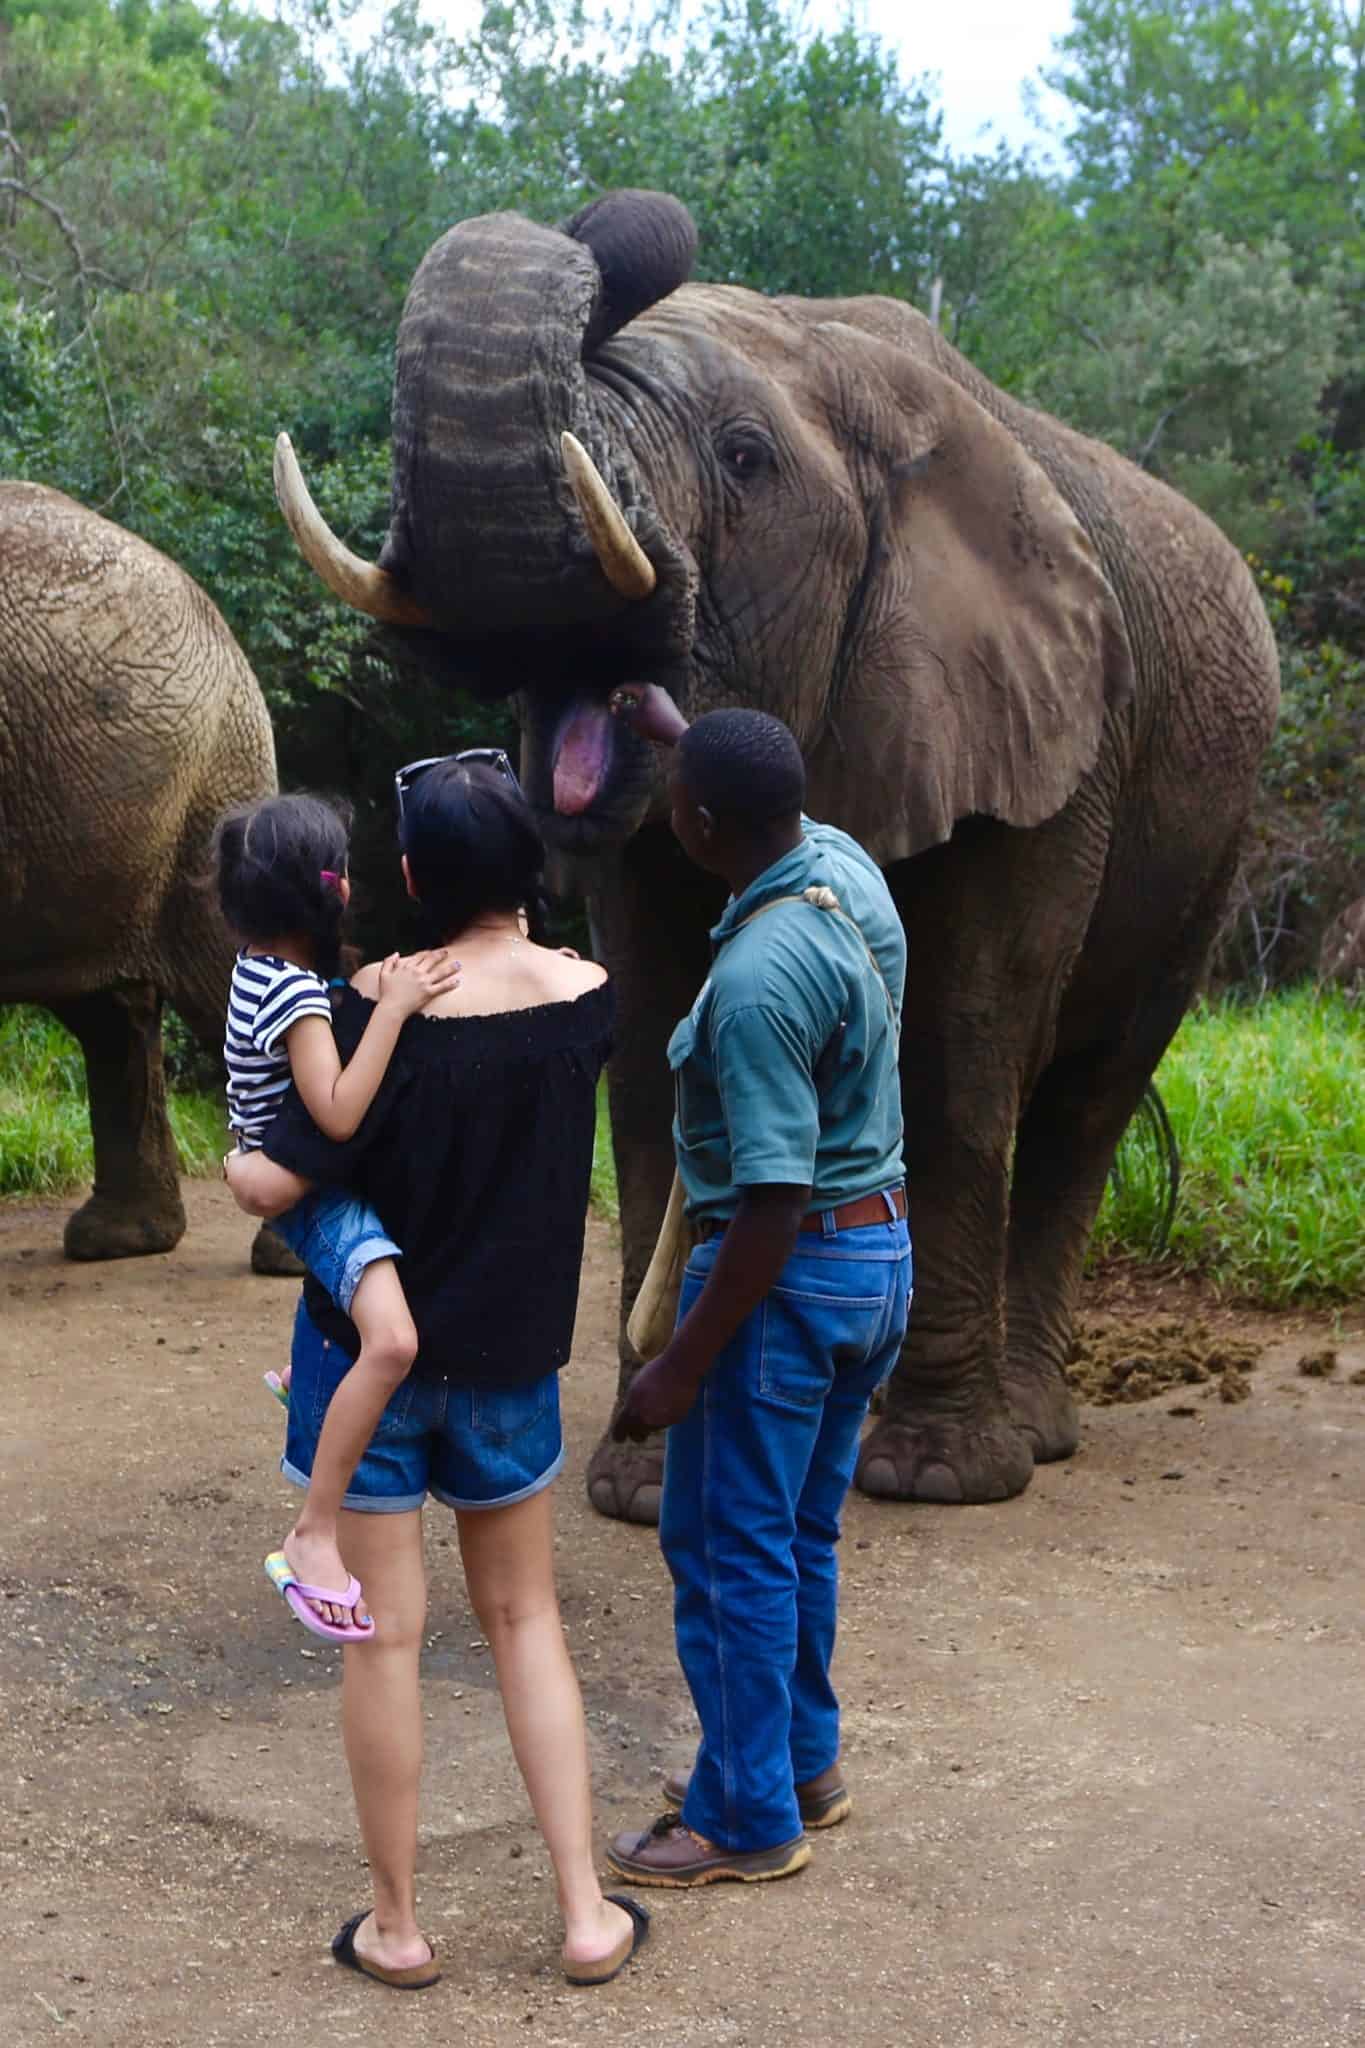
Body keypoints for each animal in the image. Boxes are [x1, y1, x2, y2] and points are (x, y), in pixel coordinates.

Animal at [273, 187, 1280, 1517]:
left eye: (745, 459)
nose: (620, 214)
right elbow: (652, 1044)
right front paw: (645, 1483)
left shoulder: (1054, 748)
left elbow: (959, 1048)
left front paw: (933, 1475)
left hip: (1212, 835)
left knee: (1087, 1098)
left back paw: (1022, 1433)